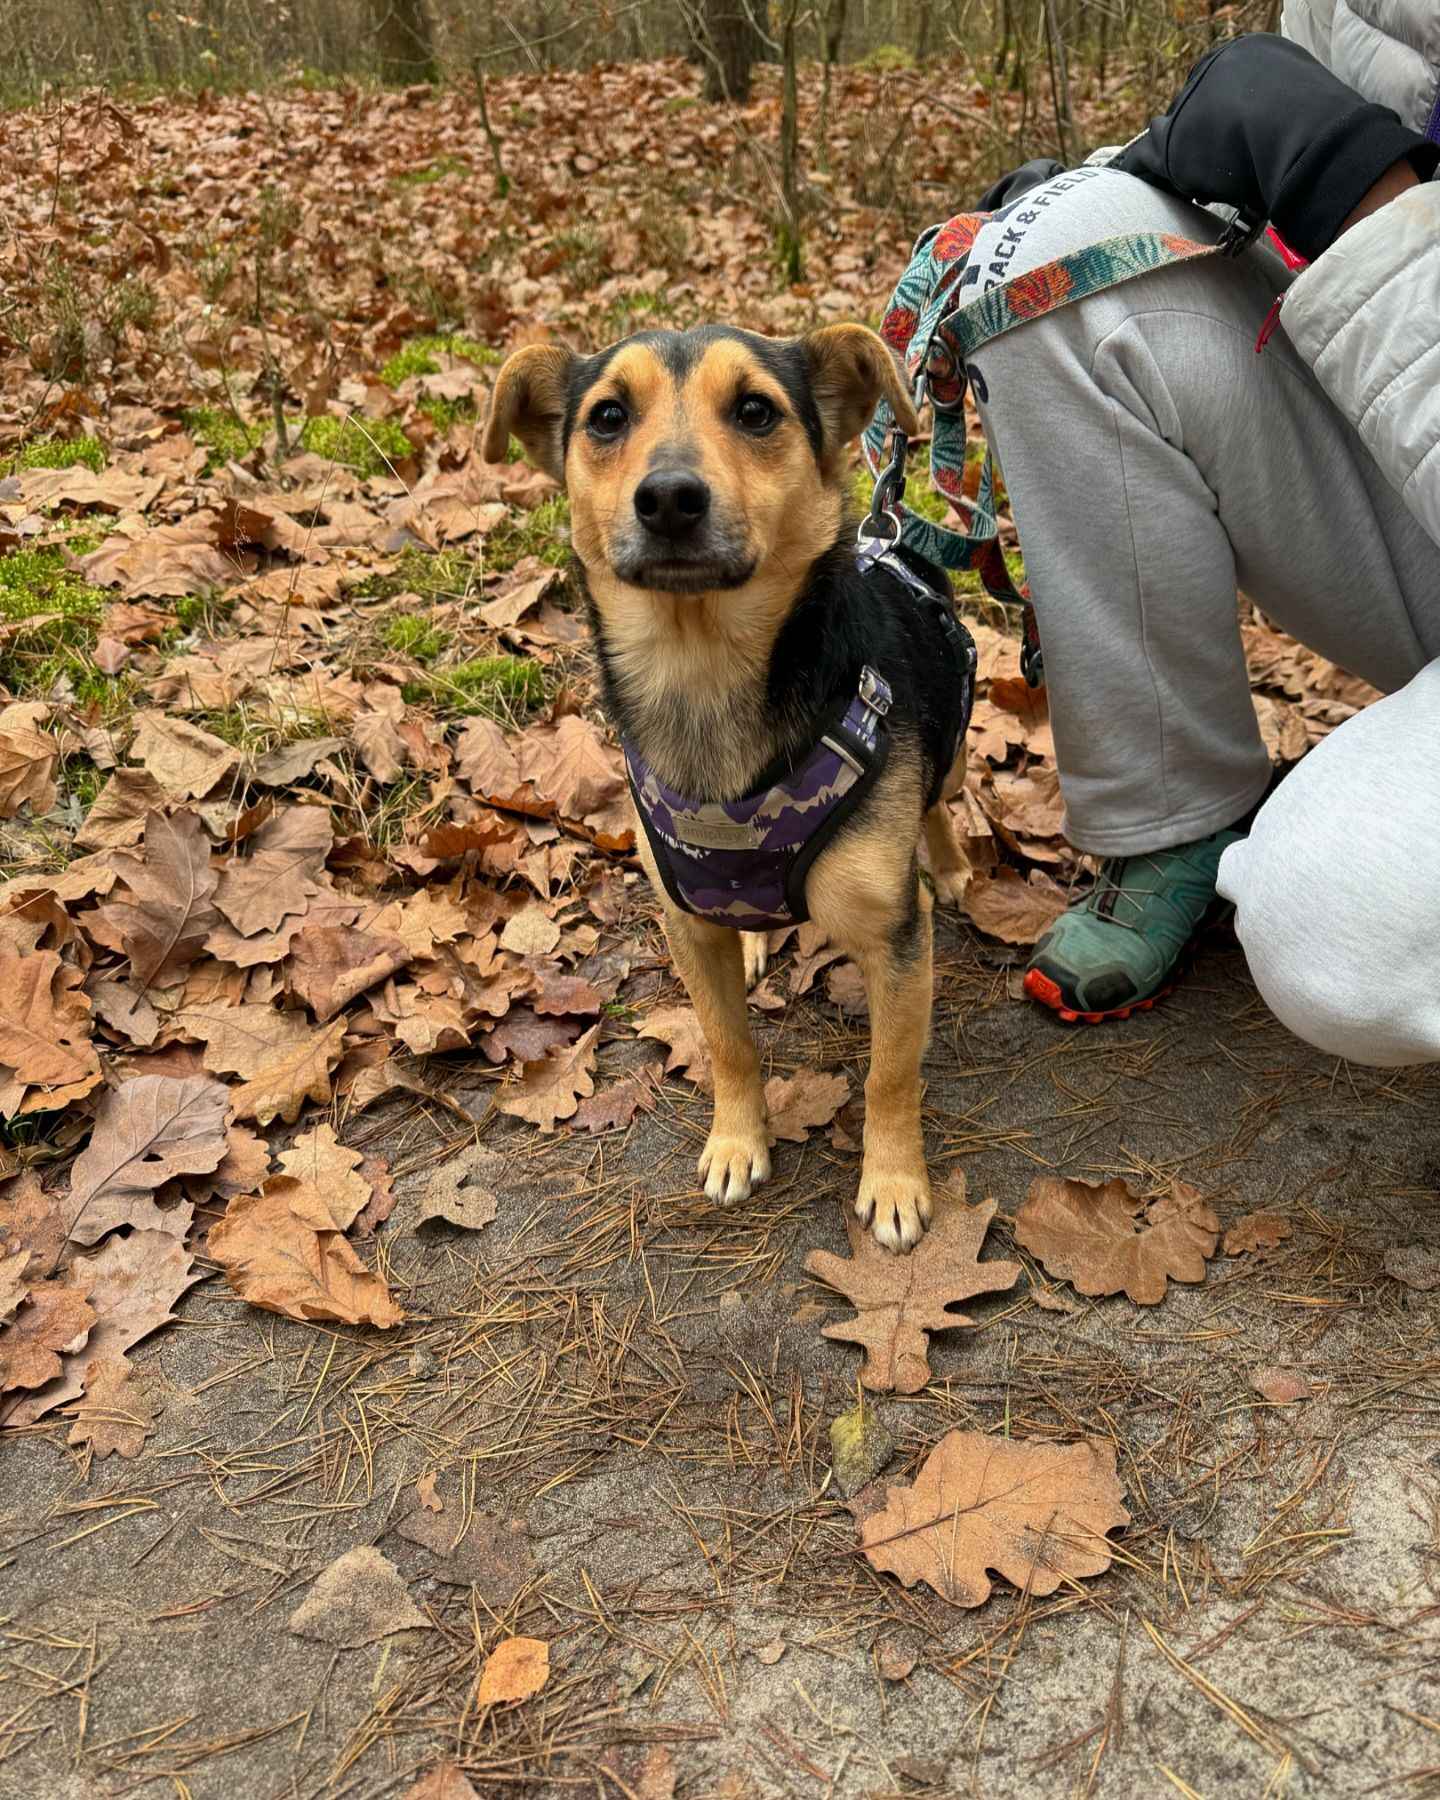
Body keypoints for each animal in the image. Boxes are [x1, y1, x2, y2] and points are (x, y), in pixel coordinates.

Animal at [478, 324, 972, 1245]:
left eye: (755, 411)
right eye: (607, 417)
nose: (670, 498)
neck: (701, 669)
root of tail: (895, 537)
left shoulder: (896, 940)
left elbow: (891, 1075)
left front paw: (893, 1181)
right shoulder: (683, 924)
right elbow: (727, 1044)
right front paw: (739, 1141)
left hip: (951, 743)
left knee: (943, 800)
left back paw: (955, 864)